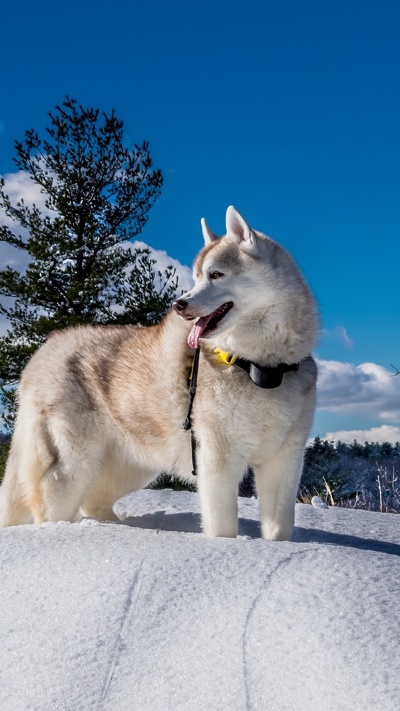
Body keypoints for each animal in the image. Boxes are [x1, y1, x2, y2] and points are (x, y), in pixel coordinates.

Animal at [0, 206, 318, 540]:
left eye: (216, 275)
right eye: (197, 277)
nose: (179, 304)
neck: (258, 367)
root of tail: (44, 350)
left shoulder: (284, 461)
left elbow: (279, 529)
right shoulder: (217, 459)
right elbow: (222, 528)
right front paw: (226, 547)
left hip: (133, 467)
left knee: (93, 500)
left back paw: (118, 529)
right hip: (74, 465)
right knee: (51, 507)